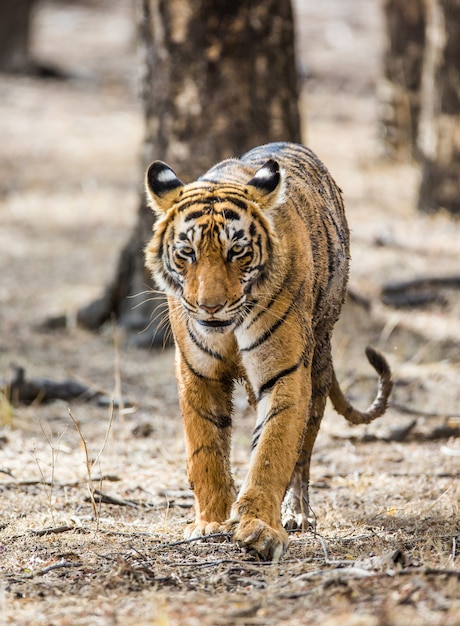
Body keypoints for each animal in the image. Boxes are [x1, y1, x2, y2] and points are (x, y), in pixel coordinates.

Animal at [144, 143, 392, 560]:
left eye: (237, 251)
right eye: (187, 252)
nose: (210, 307)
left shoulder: (285, 372)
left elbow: (272, 450)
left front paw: (260, 528)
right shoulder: (197, 372)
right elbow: (205, 450)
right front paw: (210, 522)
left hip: (318, 360)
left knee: (304, 451)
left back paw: (297, 513)